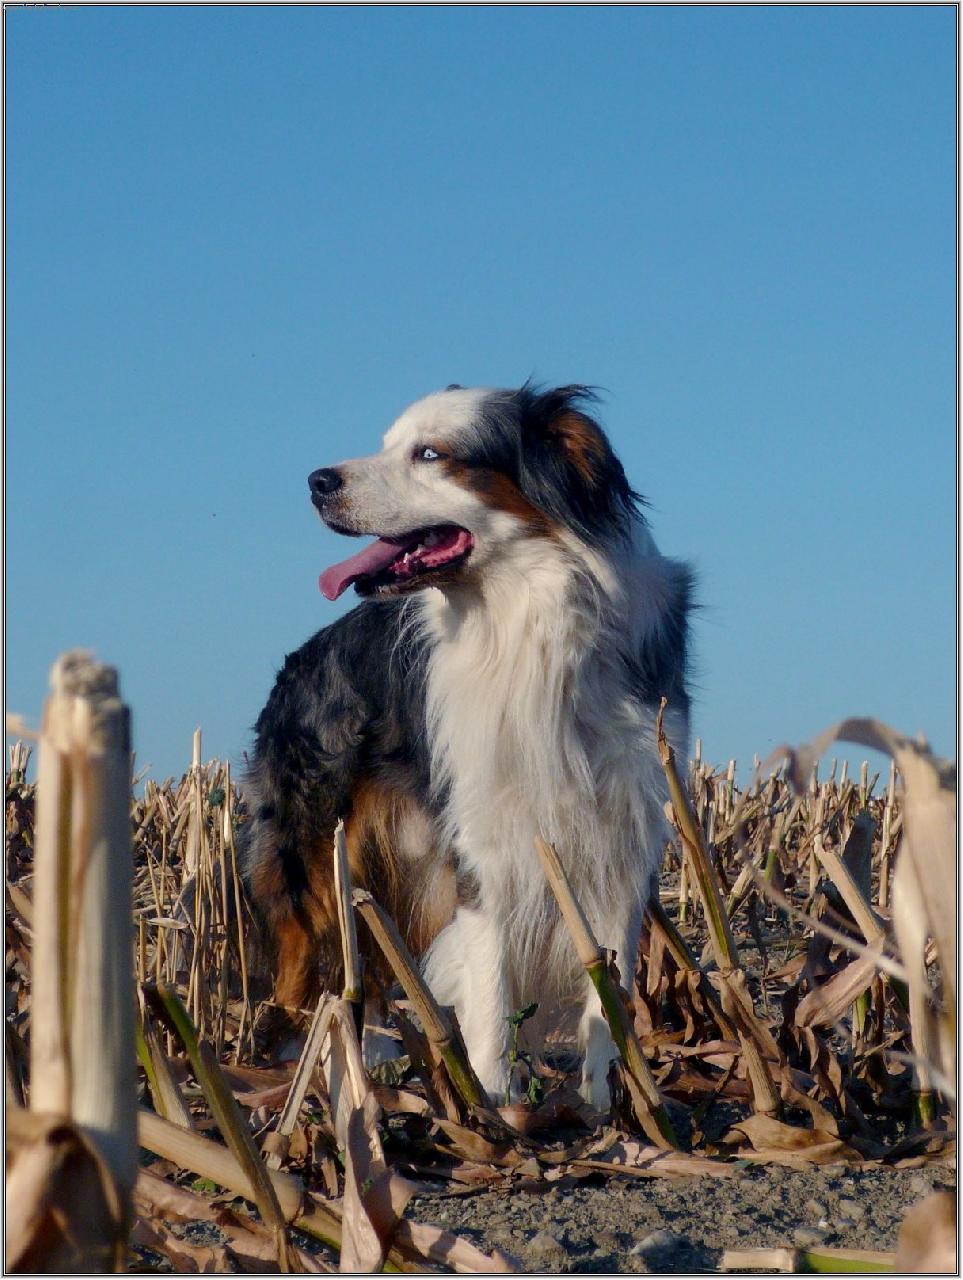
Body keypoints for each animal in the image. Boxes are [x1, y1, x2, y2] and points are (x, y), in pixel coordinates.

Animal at [241, 382, 692, 1107]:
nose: (316, 482)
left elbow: (610, 978)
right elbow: (493, 977)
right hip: (306, 860)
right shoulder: (486, 833)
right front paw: (496, 1099)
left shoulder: (626, 821)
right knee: (299, 972)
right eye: (391, 443)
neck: (526, 619)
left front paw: (612, 1100)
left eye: (431, 454)